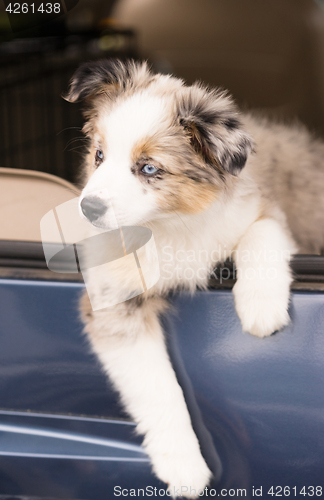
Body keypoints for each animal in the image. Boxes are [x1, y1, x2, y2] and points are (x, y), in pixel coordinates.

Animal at [64, 60, 324, 498]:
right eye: (99, 155)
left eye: (149, 168)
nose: (88, 209)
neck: (168, 225)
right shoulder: (112, 302)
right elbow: (157, 386)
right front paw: (184, 465)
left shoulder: (261, 210)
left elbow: (262, 235)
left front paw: (260, 308)